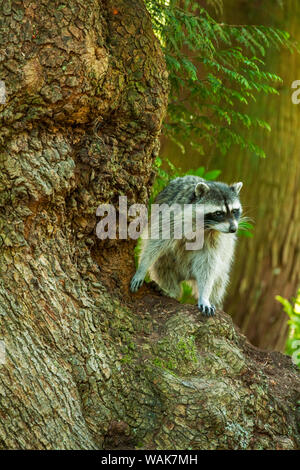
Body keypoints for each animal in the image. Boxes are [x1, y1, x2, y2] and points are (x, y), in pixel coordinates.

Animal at [130, 175, 243, 316]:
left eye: (234, 211)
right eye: (218, 213)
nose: (233, 229)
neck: (207, 226)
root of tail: (187, 276)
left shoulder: (215, 238)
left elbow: (208, 265)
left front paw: (204, 297)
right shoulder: (173, 216)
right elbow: (156, 242)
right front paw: (142, 268)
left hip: (223, 263)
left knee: (218, 279)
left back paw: (213, 300)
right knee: (162, 266)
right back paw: (172, 290)